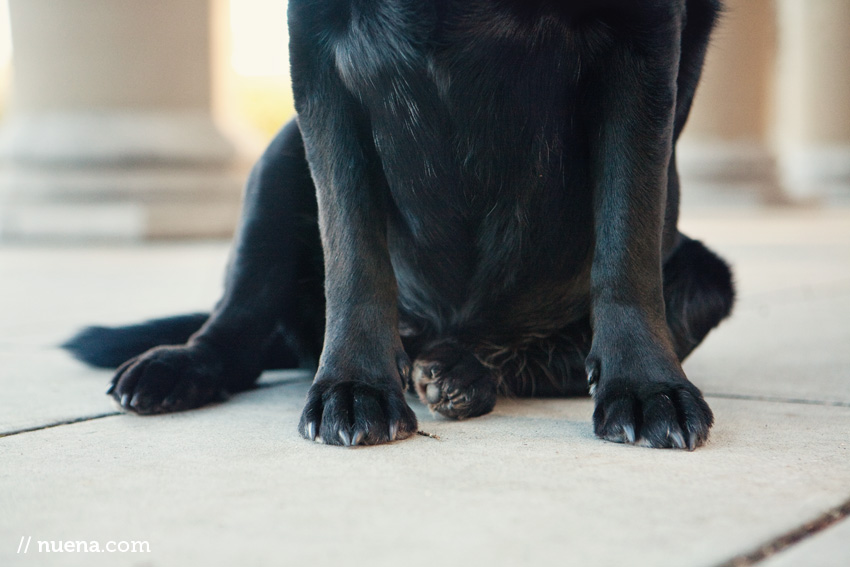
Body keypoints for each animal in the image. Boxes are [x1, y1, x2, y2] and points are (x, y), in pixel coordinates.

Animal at [66, 1, 732, 452]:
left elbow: (627, 243)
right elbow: (353, 252)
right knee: (240, 327)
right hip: (280, 154)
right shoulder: (316, 55)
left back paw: (459, 374)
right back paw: (182, 364)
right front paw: (354, 383)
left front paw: (645, 387)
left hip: (709, 280)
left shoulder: (643, 46)